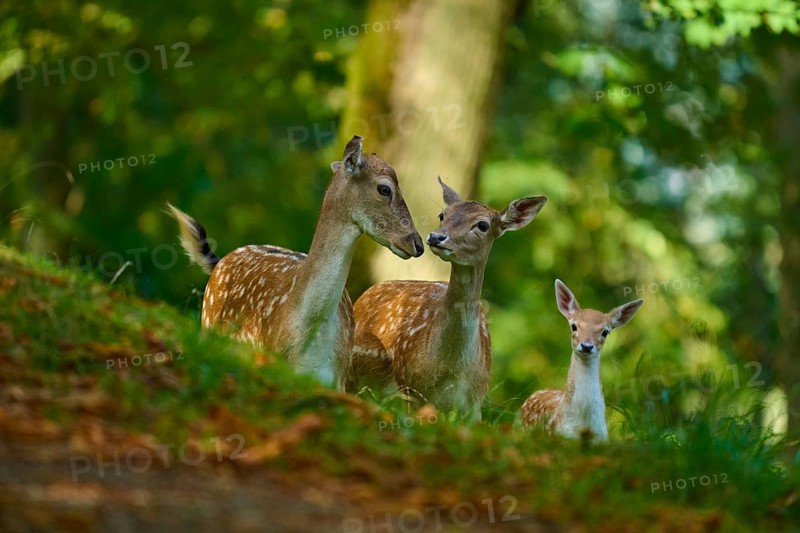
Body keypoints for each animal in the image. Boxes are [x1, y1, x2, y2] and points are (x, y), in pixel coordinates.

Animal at [348, 177, 547, 420]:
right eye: (442, 215)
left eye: (482, 225)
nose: (436, 237)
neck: (452, 369)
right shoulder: (412, 391)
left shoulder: (475, 403)